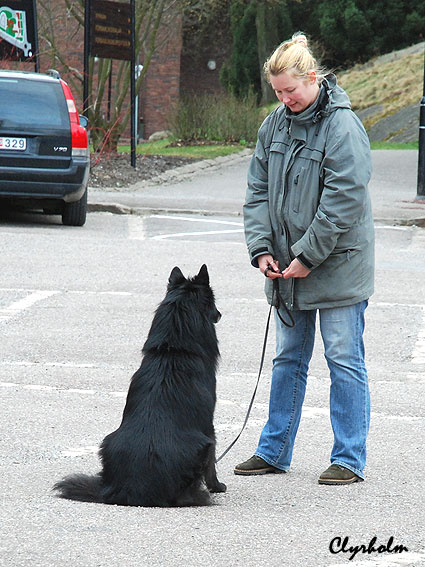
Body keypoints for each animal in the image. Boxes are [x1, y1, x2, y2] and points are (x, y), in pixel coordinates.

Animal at [53, 266, 225, 510]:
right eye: (212, 301)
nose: (220, 314)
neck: (172, 351)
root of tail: (133, 490)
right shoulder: (209, 426)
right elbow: (212, 464)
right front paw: (217, 486)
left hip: (107, 443)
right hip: (201, 447)